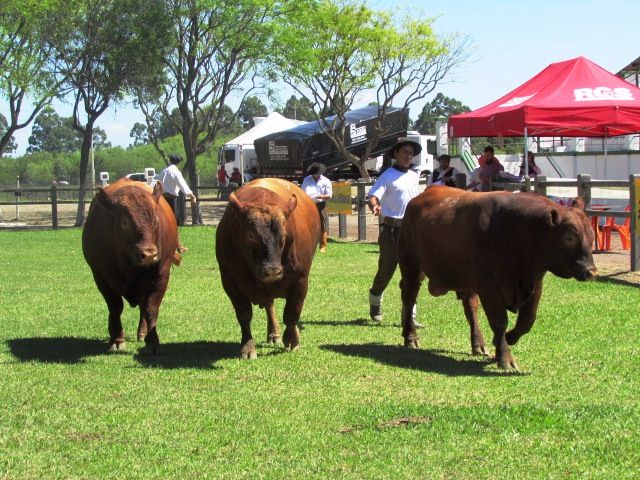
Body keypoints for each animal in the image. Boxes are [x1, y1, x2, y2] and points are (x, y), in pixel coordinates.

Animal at [82, 179, 180, 352]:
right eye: (125, 222)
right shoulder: (101, 278)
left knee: (143, 305)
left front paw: (152, 341)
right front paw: (117, 339)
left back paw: (143, 332)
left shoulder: (161, 277)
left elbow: (151, 308)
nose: (149, 254)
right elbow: (115, 307)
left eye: (156, 220)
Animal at [216, 178, 324, 358]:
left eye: (284, 234)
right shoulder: (230, 281)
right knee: (269, 305)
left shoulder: (300, 280)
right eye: (250, 235)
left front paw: (292, 340)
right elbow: (244, 315)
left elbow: (292, 313)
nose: (272, 271)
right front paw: (247, 347)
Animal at [398, 186, 596, 370]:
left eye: (592, 235)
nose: (592, 272)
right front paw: (505, 357)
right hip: (411, 267)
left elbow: (527, 321)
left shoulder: (535, 285)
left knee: (471, 307)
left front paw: (506, 339)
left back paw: (478, 344)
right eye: (569, 237)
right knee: (409, 297)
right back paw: (410, 337)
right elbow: (500, 322)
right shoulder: (489, 289)